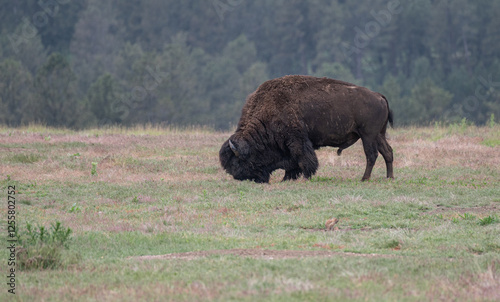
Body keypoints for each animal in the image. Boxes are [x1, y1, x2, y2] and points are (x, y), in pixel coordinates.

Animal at [221, 76, 392, 184]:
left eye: (236, 162)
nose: (239, 177)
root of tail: (379, 96)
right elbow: (292, 164)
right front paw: (286, 179)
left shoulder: (297, 141)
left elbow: (303, 160)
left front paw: (304, 178)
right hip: (378, 135)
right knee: (388, 152)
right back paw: (389, 177)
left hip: (368, 136)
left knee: (371, 155)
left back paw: (364, 179)